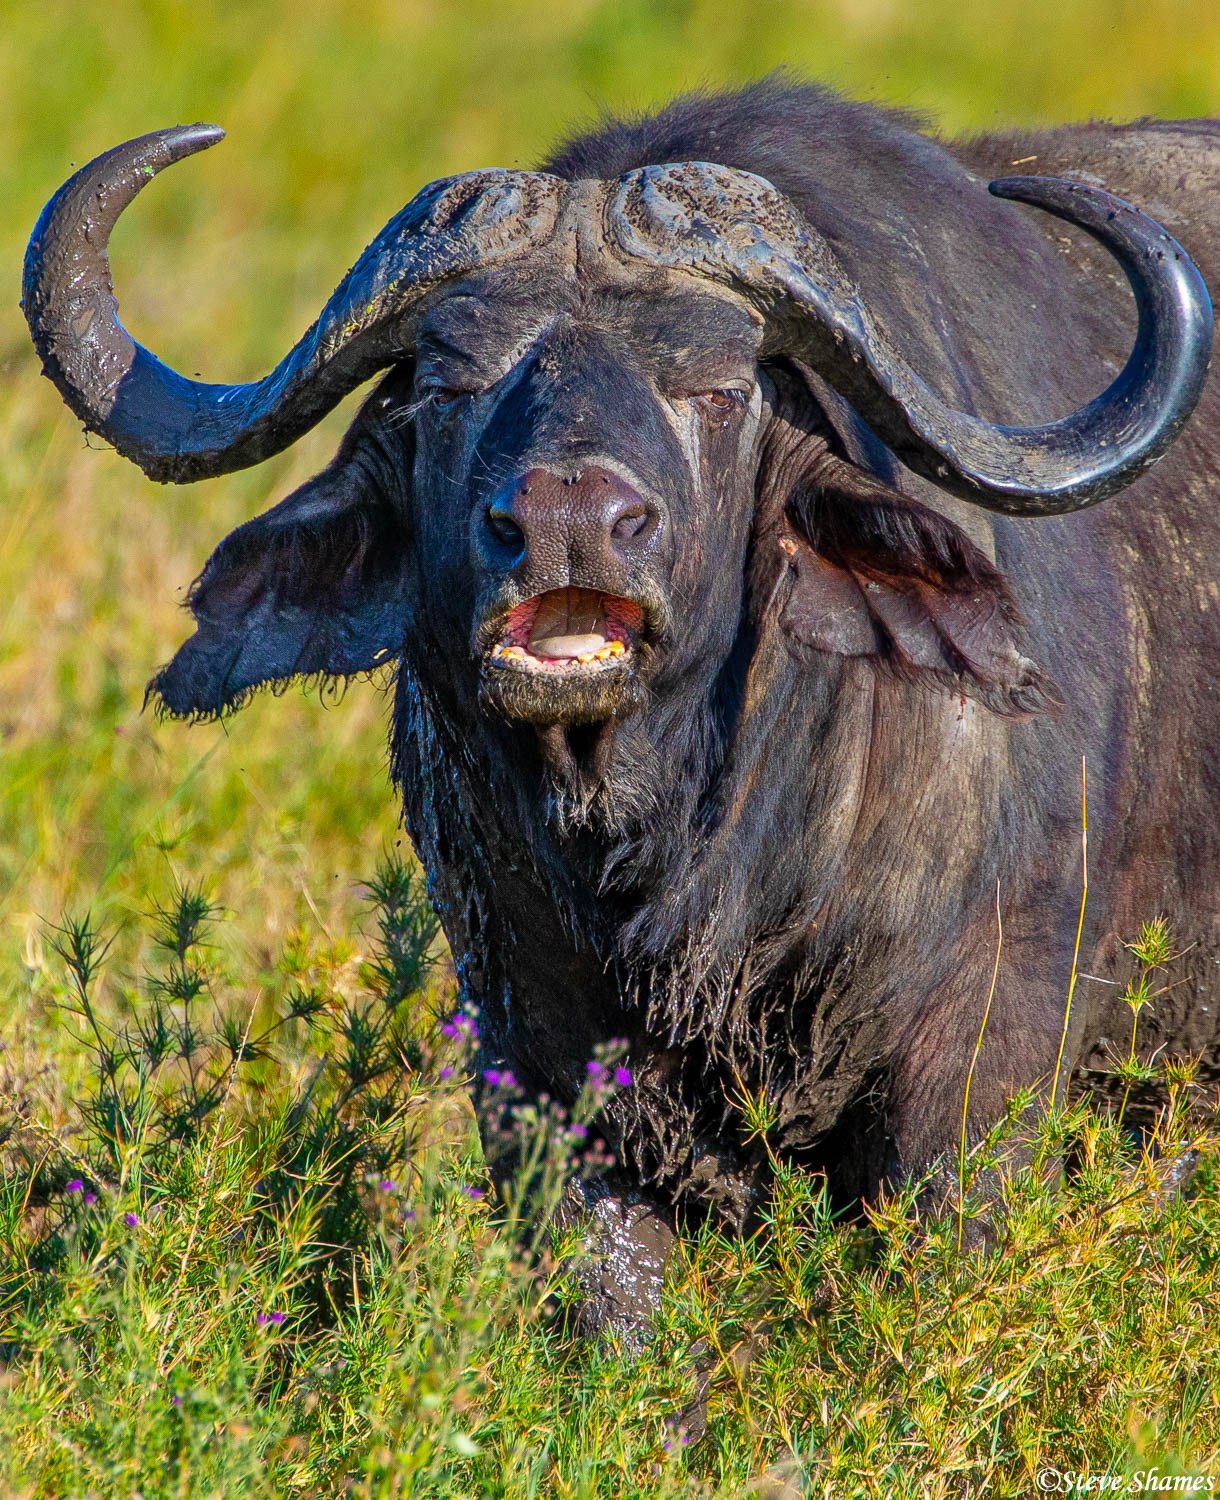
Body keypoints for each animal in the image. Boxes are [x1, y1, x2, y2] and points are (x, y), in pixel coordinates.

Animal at [21, 76, 1218, 1332]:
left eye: (720, 389)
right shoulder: (534, 1070)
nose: (566, 520)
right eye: (446, 385)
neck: (687, 871)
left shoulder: (982, 1056)